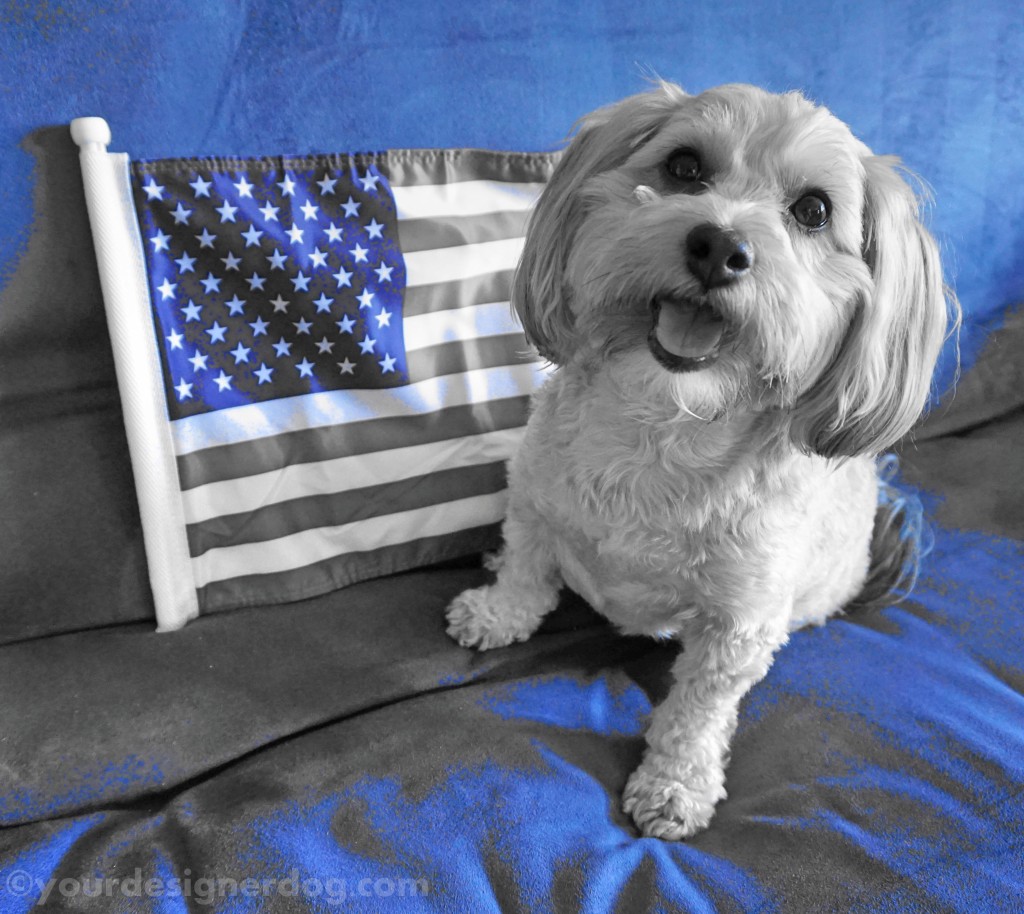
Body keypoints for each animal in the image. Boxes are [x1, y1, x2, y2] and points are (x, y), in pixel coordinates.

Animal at [446, 81, 950, 839]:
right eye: (684, 166)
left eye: (813, 210)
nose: (719, 246)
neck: (664, 430)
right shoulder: (533, 498)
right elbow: (527, 569)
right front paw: (498, 612)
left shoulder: (740, 623)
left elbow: (699, 709)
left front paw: (674, 784)